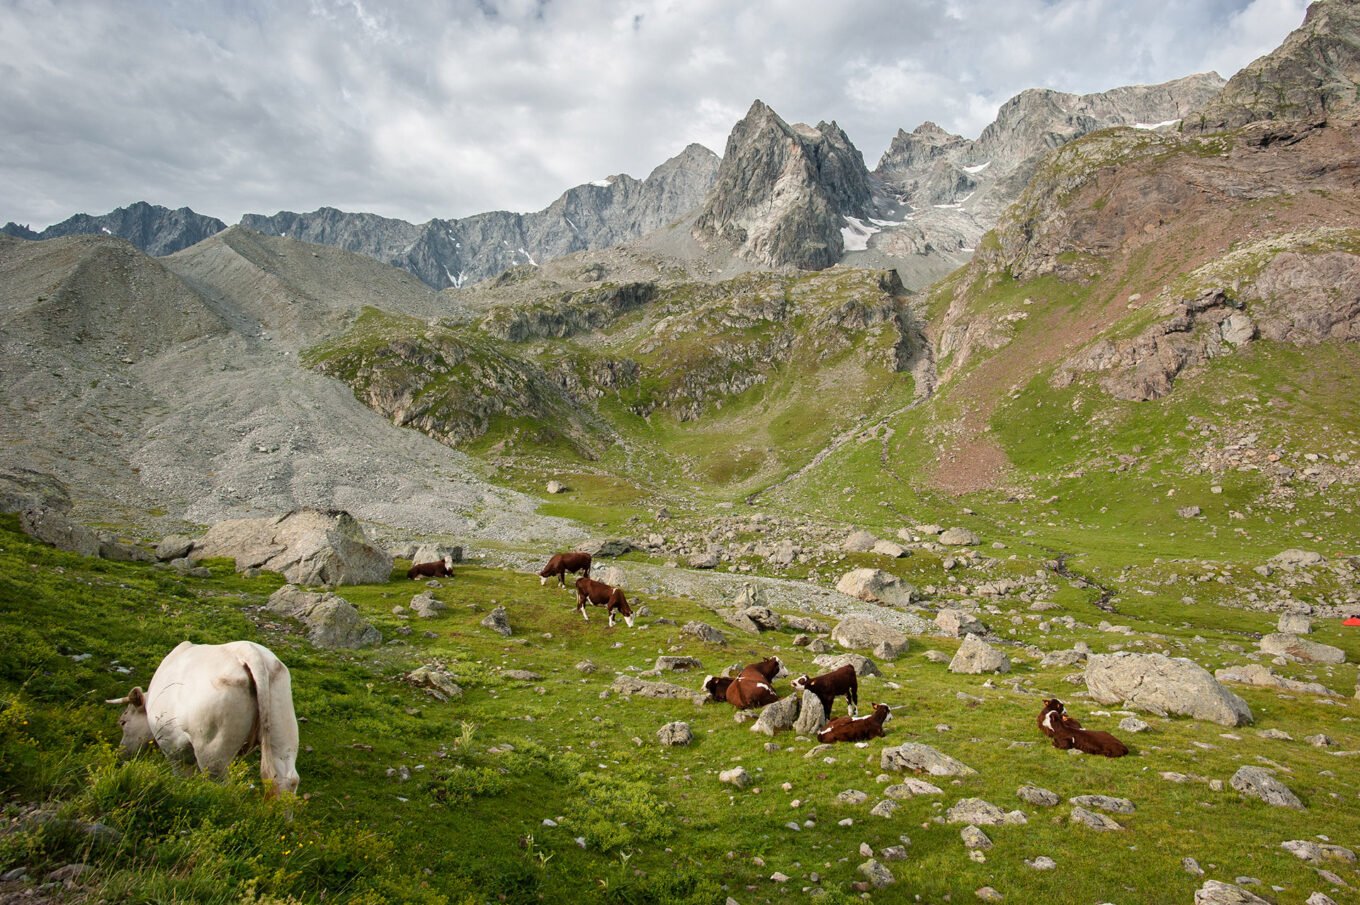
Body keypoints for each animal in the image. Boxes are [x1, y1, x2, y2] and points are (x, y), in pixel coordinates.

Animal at [107, 639, 301, 794]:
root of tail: (248, 651)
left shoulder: (172, 744)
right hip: (282, 729)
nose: (120, 753)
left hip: (211, 748)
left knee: (219, 782)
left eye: (123, 722)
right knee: (286, 779)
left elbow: (182, 774)